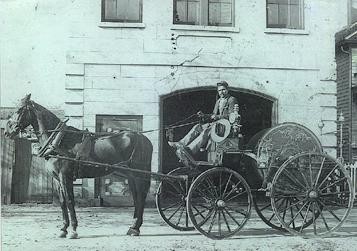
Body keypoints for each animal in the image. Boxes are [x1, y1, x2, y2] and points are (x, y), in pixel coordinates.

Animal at [4, 93, 152, 238]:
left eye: (19, 109)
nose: (7, 131)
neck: (59, 140)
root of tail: (143, 138)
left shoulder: (65, 177)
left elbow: (70, 201)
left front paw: (73, 230)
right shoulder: (57, 179)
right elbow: (62, 202)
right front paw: (64, 229)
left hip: (139, 174)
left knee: (141, 196)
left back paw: (135, 228)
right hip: (131, 175)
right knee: (136, 197)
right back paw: (133, 227)